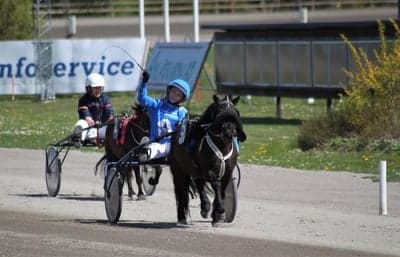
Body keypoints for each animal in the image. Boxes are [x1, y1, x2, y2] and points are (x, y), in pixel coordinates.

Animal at [168, 95, 245, 225]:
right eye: (219, 113)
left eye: (235, 113)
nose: (229, 132)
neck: (222, 147)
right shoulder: (208, 170)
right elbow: (216, 185)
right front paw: (219, 210)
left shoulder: (227, 172)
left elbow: (222, 190)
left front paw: (218, 214)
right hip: (178, 169)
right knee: (181, 190)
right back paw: (184, 216)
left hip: (193, 170)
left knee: (198, 183)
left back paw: (205, 207)